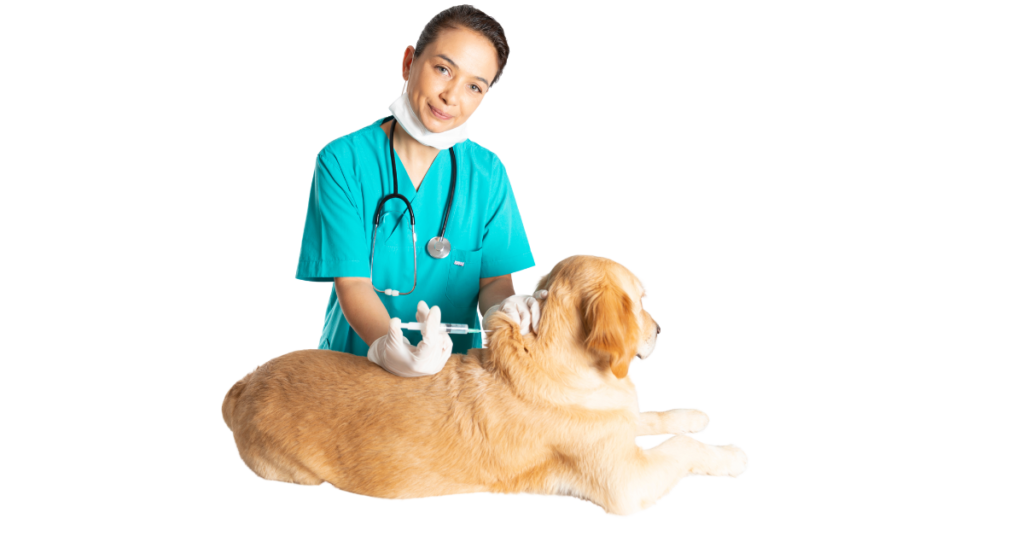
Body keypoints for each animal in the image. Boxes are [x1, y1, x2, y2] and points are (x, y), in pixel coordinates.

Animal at [220, 255, 749, 520]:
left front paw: (692, 414)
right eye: (641, 301)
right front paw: (729, 454)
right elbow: (680, 449)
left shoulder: (615, 421)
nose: (660, 328)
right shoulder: (626, 483)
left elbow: (649, 416)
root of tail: (245, 382)